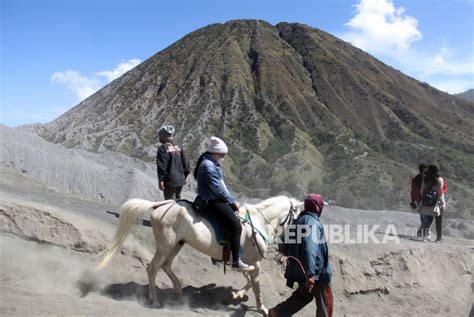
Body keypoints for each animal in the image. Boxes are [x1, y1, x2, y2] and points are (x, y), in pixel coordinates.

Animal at [96, 195, 304, 314]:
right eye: (296, 216)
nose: (291, 238)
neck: (258, 223)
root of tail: (160, 205)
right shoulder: (252, 261)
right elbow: (256, 286)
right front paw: (262, 308)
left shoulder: (247, 262)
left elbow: (250, 280)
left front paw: (237, 294)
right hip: (166, 244)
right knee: (153, 268)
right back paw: (154, 301)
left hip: (177, 244)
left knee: (166, 265)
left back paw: (179, 291)